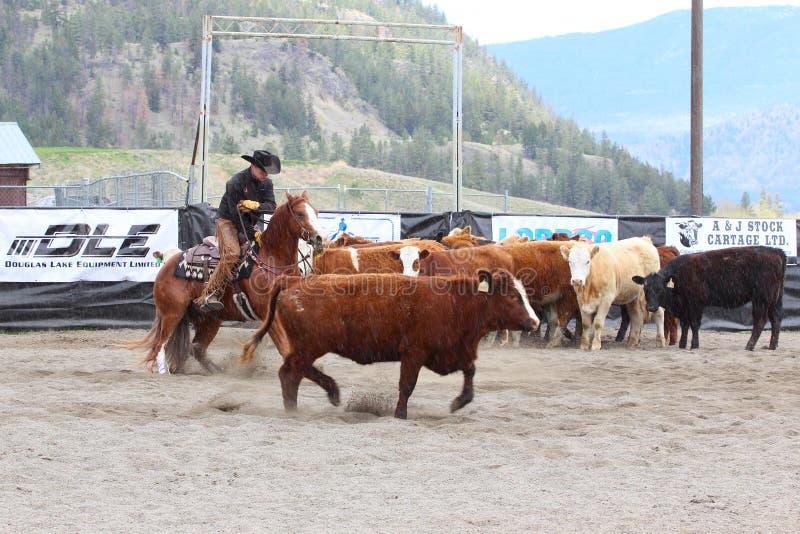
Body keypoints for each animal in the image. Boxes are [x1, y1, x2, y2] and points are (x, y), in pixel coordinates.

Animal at [123, 191, 326, 374]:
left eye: (316, 212)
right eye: (300, 214)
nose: (320, 238)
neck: (271, 259)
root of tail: (166, 266)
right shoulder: (267, 312)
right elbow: (284, 346)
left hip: (208, 320)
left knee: (196, 347)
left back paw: (217, 370)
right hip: (171, 313)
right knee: (161, 344)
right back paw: (164, 371)